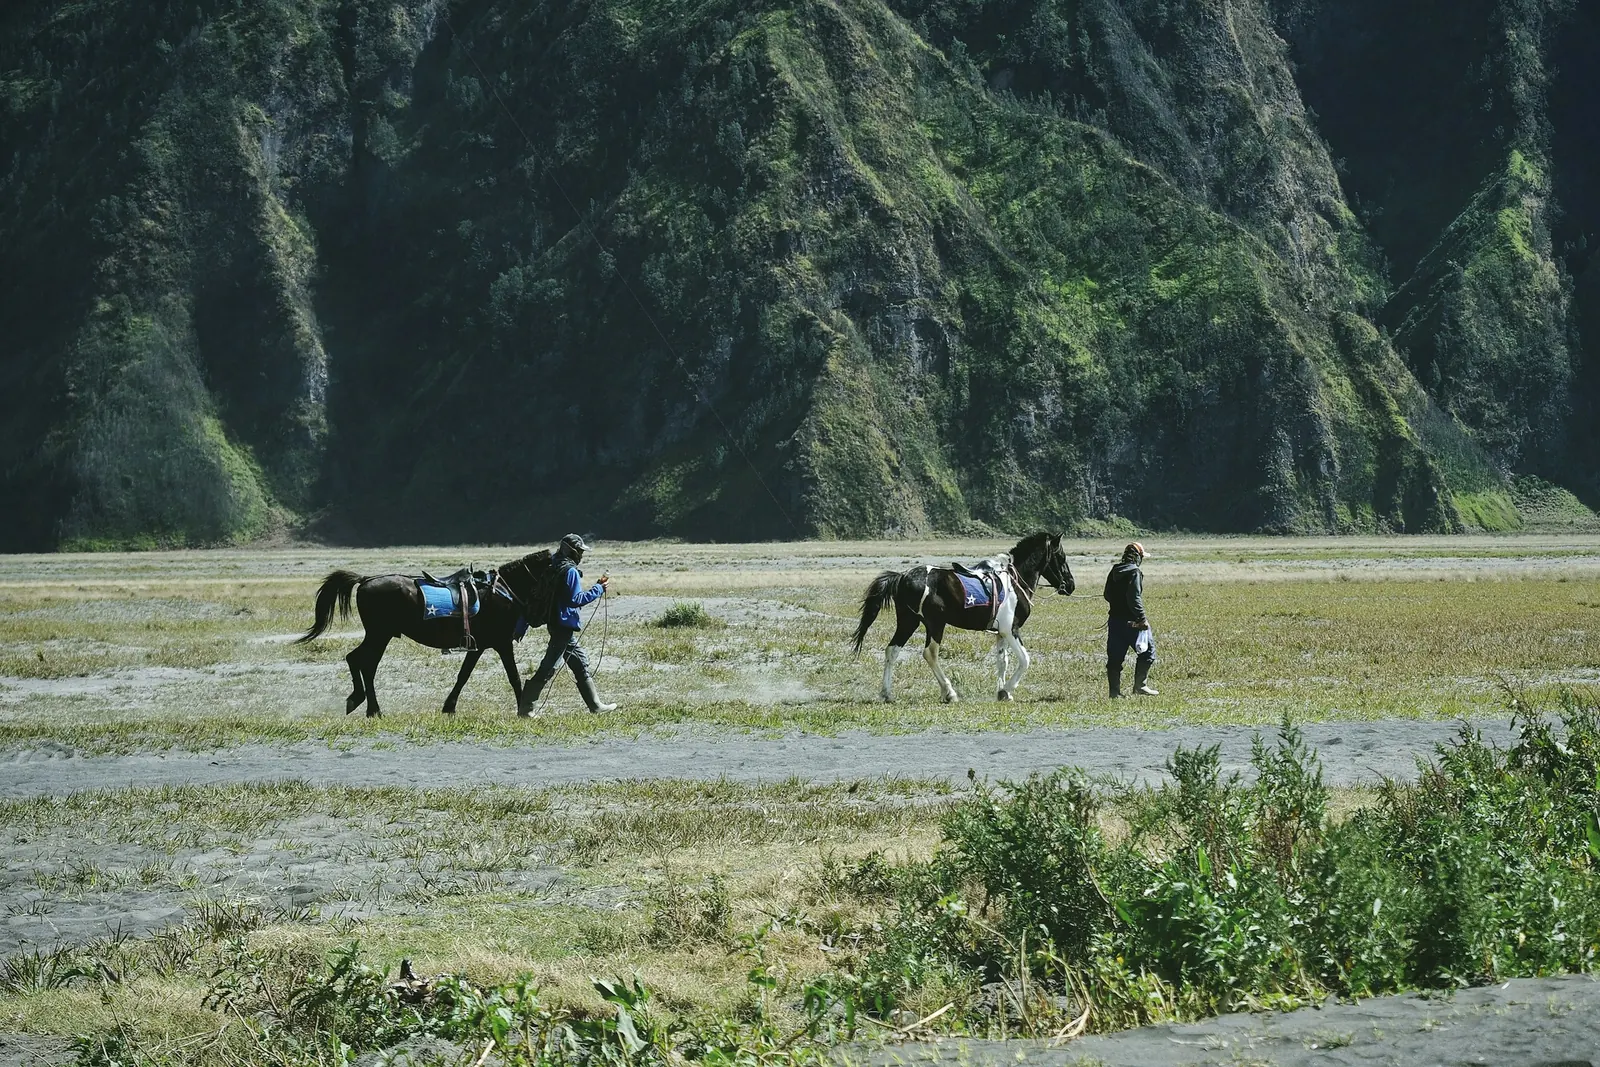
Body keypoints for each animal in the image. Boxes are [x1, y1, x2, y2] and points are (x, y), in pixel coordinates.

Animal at [296, 551, 558, 717]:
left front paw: (449, 707)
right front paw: (523, 709)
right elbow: (513, 677)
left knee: (356, 659)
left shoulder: (479, 645)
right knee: (366, 664)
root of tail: (366, 580)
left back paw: (359, 700)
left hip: (377, 635)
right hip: (380, 635)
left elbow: (463, 675)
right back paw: (373, 709)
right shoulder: (502, 643)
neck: (504, 591)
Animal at [851, 532, 1074, 703]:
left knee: (892, 651)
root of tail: (902, 576)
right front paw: (1007, 690)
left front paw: (1002, 693)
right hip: (935, 624)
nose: (1071, 585)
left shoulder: (1000, 633)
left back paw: (887, 694)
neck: (1014, 580)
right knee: (930, 654)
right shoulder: (1011, 629)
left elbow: (1002, 661)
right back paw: (949, 693)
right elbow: (1025, 660)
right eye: (1061, 557)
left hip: (908, 622)